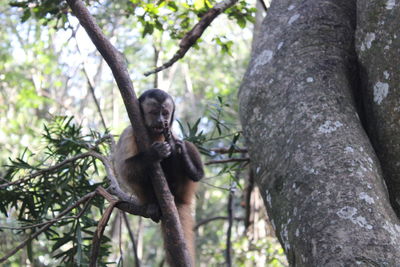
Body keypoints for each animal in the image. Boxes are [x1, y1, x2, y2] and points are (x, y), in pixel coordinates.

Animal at [114, 88, 205, 266]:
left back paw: (189, 166)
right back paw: (153, 204)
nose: (161, 121)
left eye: (165, 113)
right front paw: (154, 153)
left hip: (184, 188)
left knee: (187, 153)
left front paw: (176, 149)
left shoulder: (171, 131)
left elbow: (178, 142)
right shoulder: (129, 132)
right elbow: (123, 169)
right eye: (154, 112)